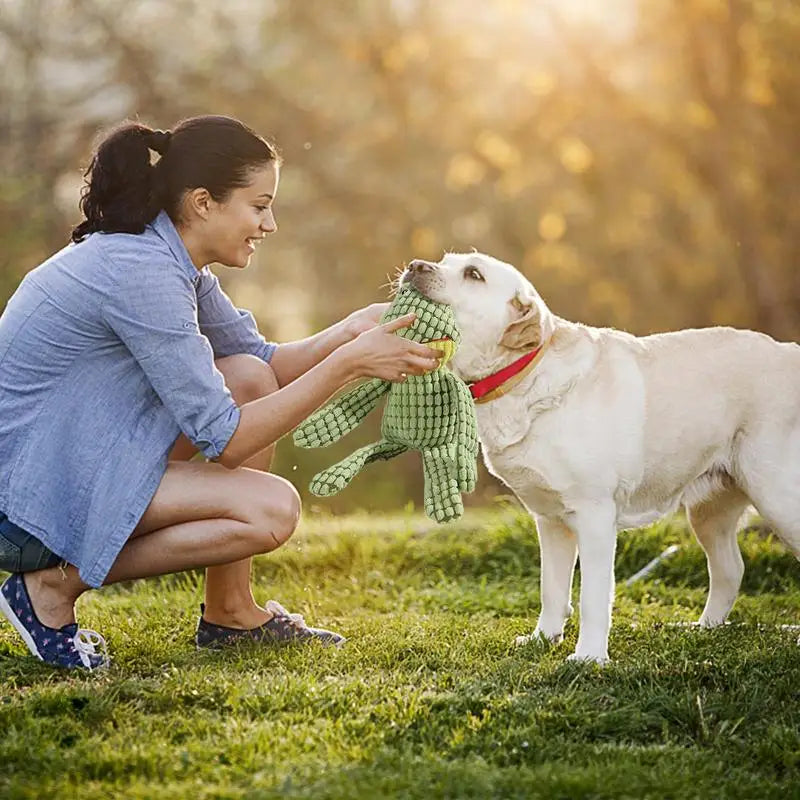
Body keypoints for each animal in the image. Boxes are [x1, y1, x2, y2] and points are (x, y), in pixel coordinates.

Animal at [404, 253, 796, 660]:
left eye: (474, 274)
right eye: (446, 261)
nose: (416, 266)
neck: (523, 375)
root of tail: (789, 350)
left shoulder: (594, 514)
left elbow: (592, 596)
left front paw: (588, 656)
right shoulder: (550, 520)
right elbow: (551, 588)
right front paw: (543, 637)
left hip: (778, 495)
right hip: (709, 511)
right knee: (730, 569)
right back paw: (703, 629)